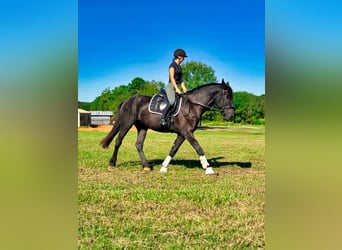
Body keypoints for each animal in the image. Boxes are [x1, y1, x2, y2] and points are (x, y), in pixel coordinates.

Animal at [100, 79, 235, 175]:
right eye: (227, 96)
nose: (232, 116)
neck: (193, 106)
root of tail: (128, 100)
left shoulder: (183, 133)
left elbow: (174, 149)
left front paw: (164, 167)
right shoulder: (187, 132)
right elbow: (198, 148)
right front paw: (208, 168)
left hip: (142, 127)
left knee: (138, 144)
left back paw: (146, 166)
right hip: (127, 123)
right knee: (118, 141)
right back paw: (112, 163)